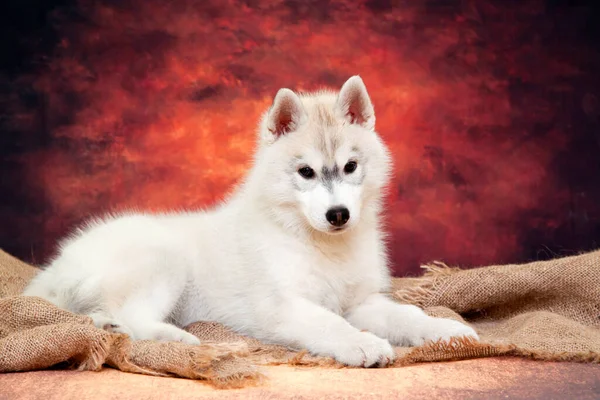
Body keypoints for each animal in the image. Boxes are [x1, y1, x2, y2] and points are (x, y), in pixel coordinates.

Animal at [24, 76, 478, 368]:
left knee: (99, 317)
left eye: (350, 167)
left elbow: (408, 315)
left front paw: (445, 330)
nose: (338, 215)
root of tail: (53, 270)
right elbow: (328, 322)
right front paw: (361, 344)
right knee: (132, 318)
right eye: (306, 173)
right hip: (162, 260)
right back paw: (180, 341)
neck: (319, 244)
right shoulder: (283, 306)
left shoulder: (362, 302)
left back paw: (111, 325)